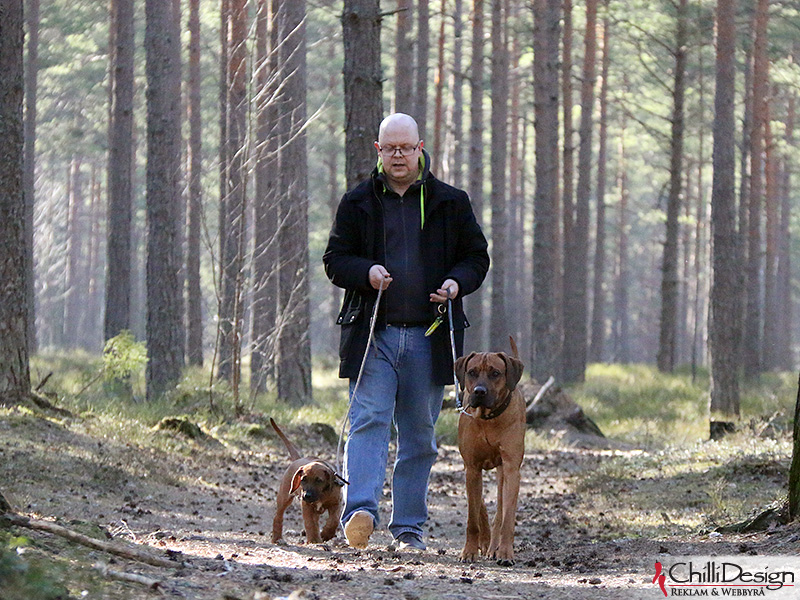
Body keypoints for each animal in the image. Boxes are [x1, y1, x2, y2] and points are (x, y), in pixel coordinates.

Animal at [454, 338, 528, 568]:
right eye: (472, 372)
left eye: (495, 373)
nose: (479, 391)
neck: (488, 419)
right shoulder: (471, 467)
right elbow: (473, 517)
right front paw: (469, 551)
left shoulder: (511, 468)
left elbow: (507, 518)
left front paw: (505, 552)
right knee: (480, 508)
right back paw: (485, 542)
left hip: (503, 471)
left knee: (500, 510)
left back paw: (494, 547)